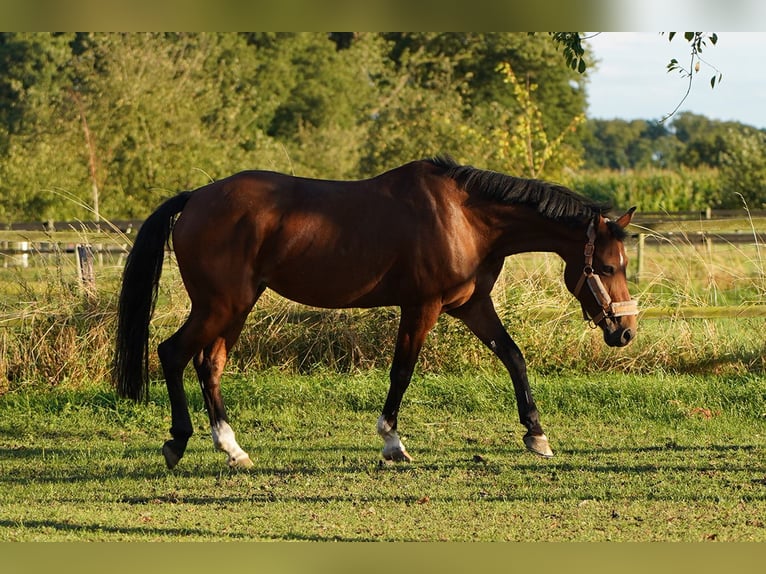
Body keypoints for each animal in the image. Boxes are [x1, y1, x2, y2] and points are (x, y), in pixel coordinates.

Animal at [114, 155, 640, 470]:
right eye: (608, 265)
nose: (625, 331)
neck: (466, 218)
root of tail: (196, 198)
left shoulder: (472, 305)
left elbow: (513, 357)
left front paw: (536, 433)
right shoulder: (422, 306)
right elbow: (402, 372)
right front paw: (391, 441)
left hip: (236, 306)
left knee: (209, 365)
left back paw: (232, 448)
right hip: (220, 304)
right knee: (172, 353)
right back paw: (177, 441)